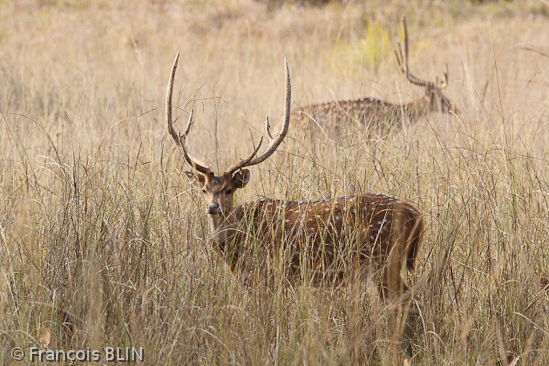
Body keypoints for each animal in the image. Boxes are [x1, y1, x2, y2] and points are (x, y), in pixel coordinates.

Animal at [167, 54, 424, 310]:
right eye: (204, 189)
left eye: (228, 190)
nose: (212, 207)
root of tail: (417, 216)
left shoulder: (268, 273)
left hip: (384, 260)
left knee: (408, 302)